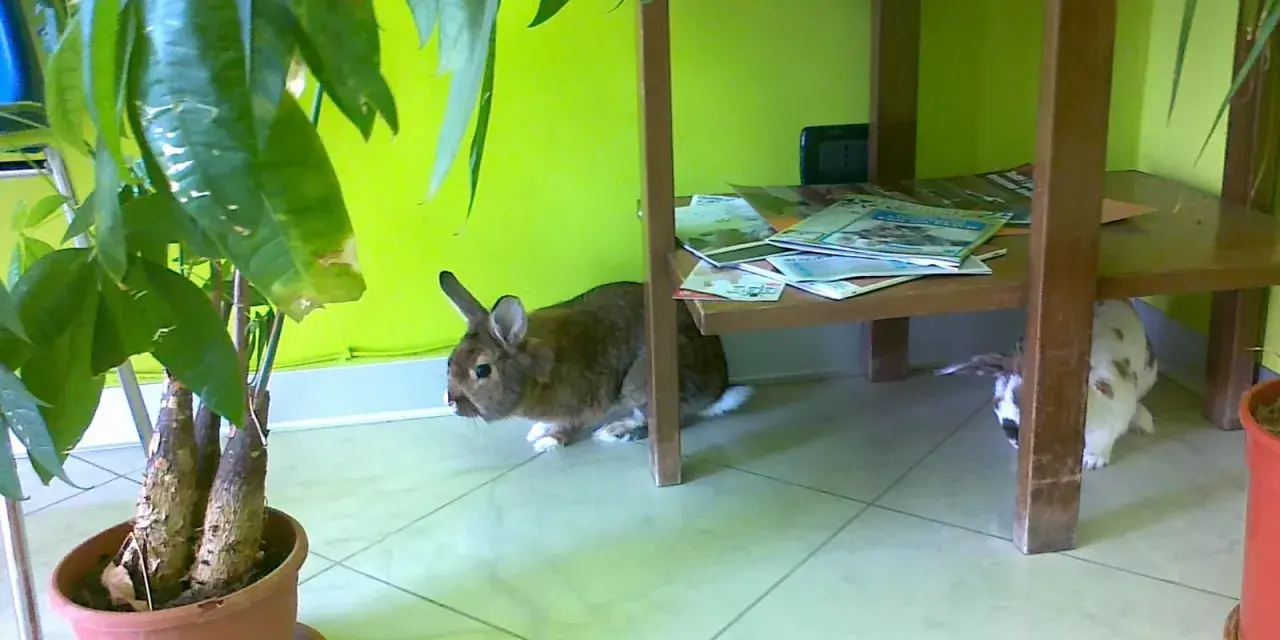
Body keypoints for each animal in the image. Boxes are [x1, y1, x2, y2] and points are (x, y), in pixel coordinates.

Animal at [438, 271, 753, 453]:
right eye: (450, 362)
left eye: (482, 370)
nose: (451, 401)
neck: (534, 373)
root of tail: (716, 393)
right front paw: (538, 430)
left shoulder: (583, 403)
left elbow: (569, 426)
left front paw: (547, 442)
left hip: (640, 383)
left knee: (670, 421)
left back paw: (614, 432)